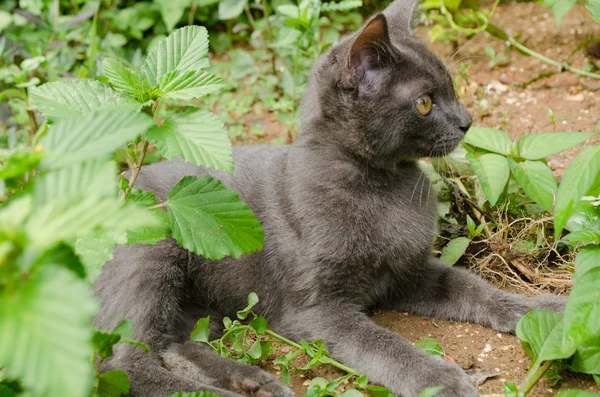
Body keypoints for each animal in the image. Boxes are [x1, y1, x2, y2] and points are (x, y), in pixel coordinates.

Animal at [91, 0, 564, 396]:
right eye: (425, 103)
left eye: (452, 89)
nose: (467, 121)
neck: (376, 186)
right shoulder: (316, 308)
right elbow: (383, 343)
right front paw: (440, 379)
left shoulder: (408, 272)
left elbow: (474, 288)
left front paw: (546, 310)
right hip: (150, 257)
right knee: (125, 361)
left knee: (171, 345)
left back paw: (254, 382)